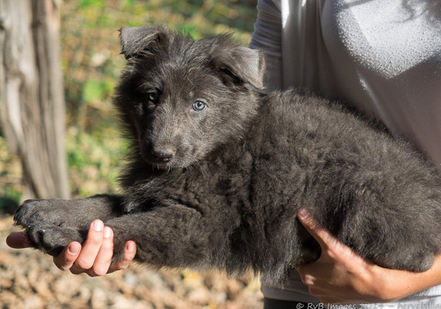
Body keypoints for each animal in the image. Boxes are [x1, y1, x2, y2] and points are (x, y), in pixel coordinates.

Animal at [12, 25, 440, 282]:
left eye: (198, 105)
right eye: (151, 97)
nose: (160, 153)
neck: (218, 146)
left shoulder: (198, 222)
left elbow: (124, 226)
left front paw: (62, 232)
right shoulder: (152, 193)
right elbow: (104, 203)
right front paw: (48, 208)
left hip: (361, 191)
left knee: (414, 257)